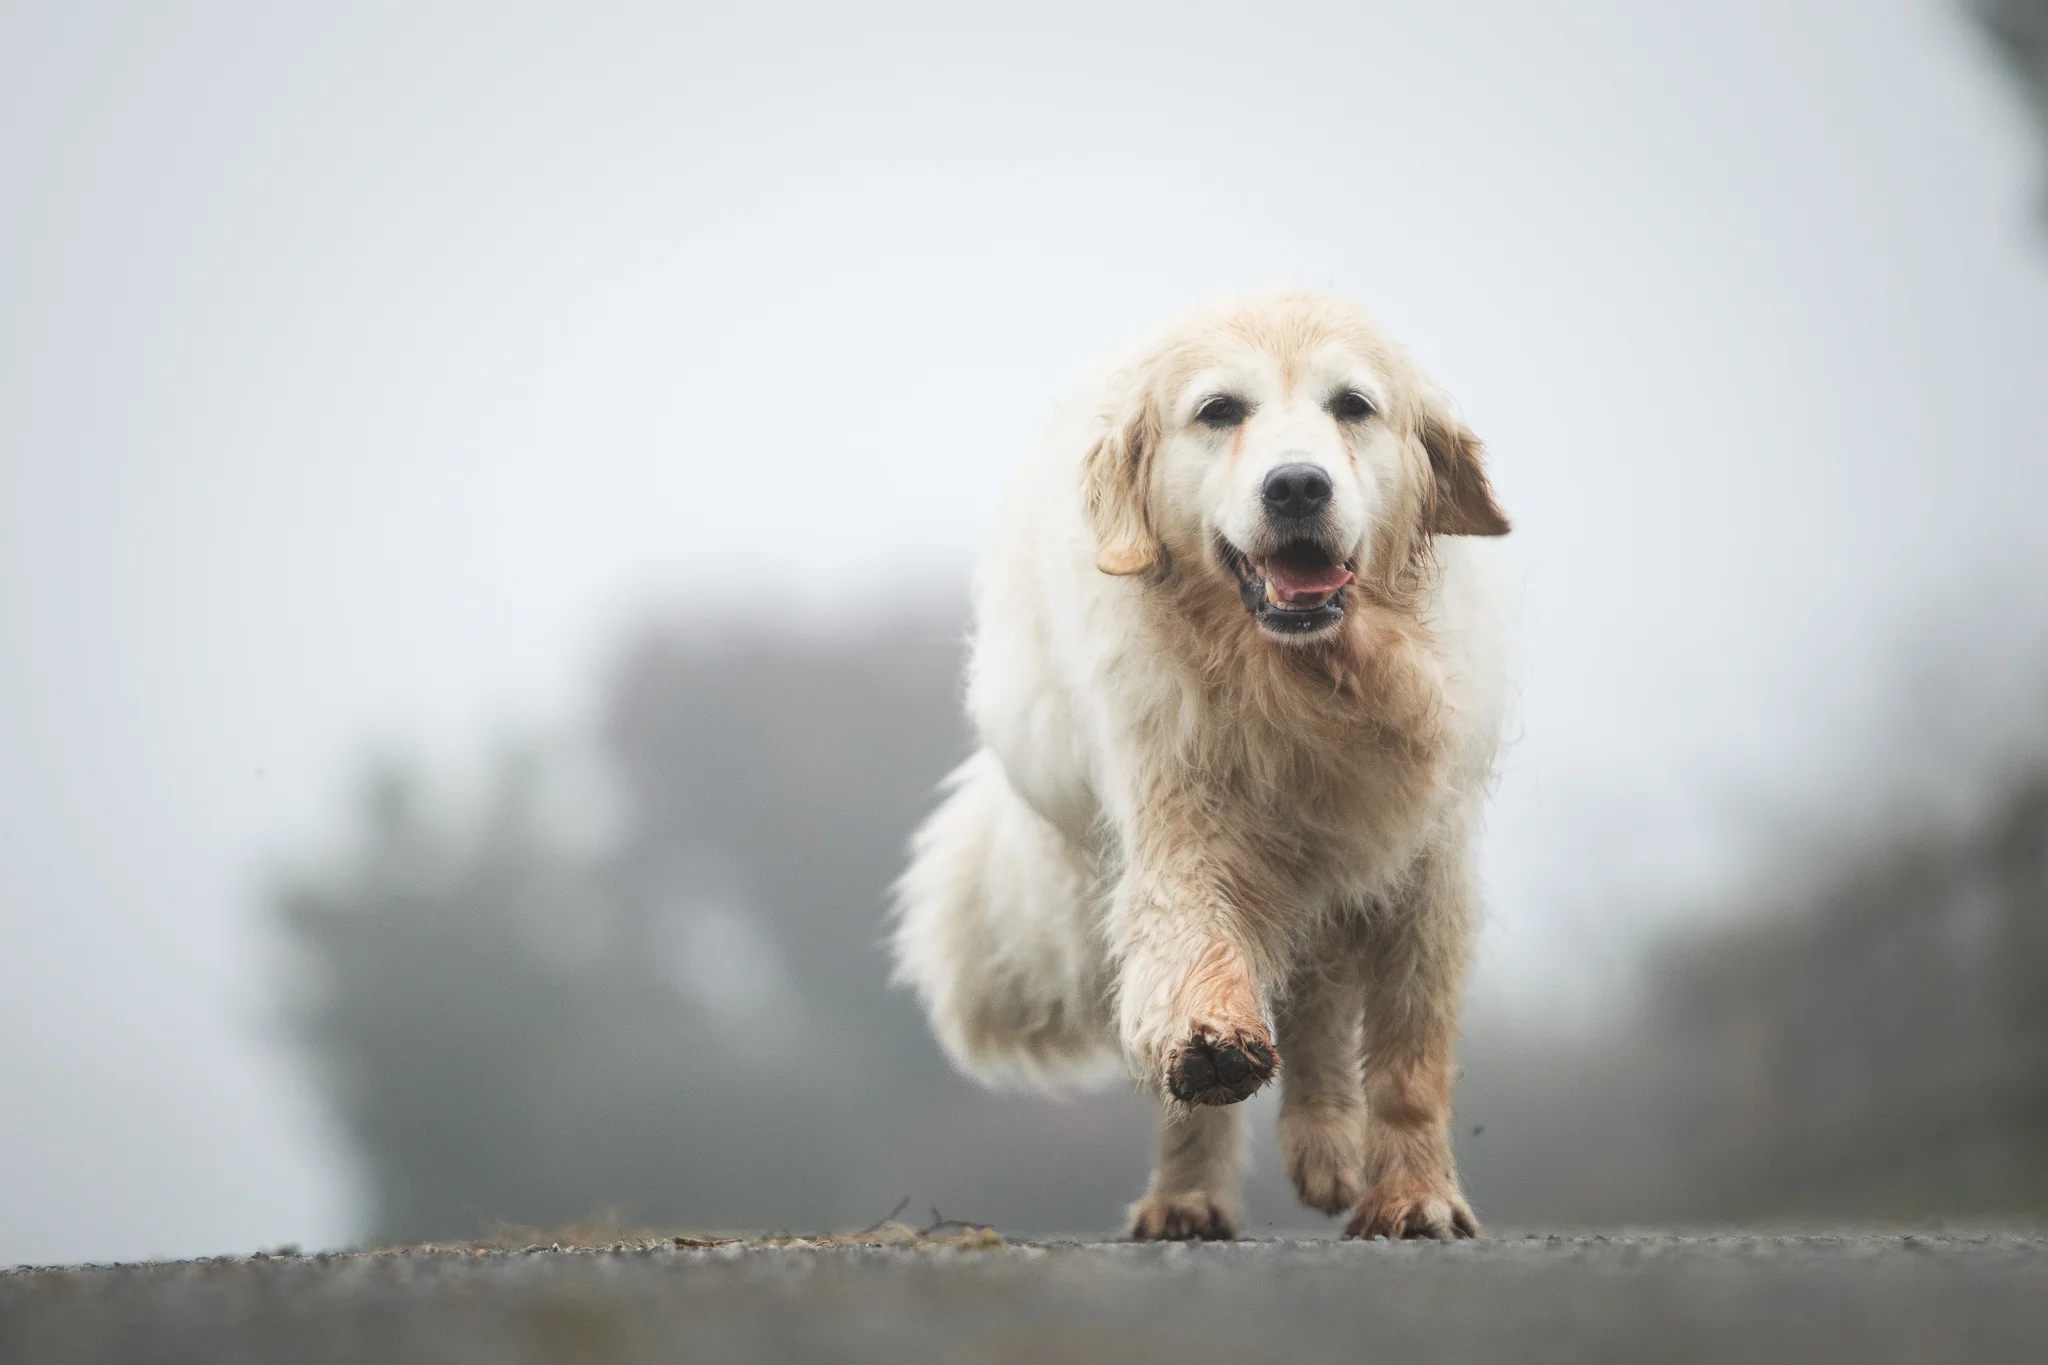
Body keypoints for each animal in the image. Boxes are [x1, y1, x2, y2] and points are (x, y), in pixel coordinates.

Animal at [892, 288, 1507, 1236]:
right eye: (1220, 410)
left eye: (1353, 405)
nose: (1297, 485)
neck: (1308, 682)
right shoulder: (1180, 825)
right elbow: (1193, 949)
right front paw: (1215, 1044)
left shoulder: (1426, 869)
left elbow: (1411, 1056)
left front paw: (1417, 1197)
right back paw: (1189, 1195)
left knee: (1320, 1003)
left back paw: (1326, 1147)